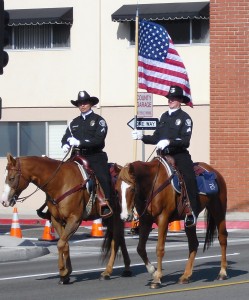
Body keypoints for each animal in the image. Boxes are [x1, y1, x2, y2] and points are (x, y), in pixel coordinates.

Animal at [0, 155, 131, 284]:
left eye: (11, 178)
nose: (4, 201)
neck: (59, 182)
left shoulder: (74, 219)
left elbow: (60, 244)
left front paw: (63, 271)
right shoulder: (56, 220)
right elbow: (65, 244)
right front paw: (67, 274)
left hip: (116, 216)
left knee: (116, 240)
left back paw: (107, 272)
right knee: (120, 238)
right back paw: (126, 269)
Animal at [115, 155, 229, 288]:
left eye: (132, 189)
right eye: (116, 190)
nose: (124, 217)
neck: (152, 183)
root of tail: (215, 172)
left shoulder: (163, 219)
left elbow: (159, 248)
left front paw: (157, 278)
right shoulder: (146, 221)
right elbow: (140, 248)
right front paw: (153, 271)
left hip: (218, 211)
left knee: (222, 238)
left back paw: (222, 273)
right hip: (190, 220)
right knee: (193, 244)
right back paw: (185, 276)